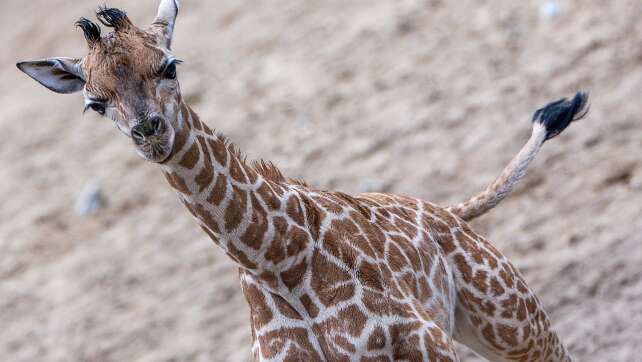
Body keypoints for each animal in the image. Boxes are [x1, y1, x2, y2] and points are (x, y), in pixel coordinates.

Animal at [16, 1, 592, 360]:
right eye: (94, 102)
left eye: (169, 66)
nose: (149, 131)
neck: (278, 259)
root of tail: (446, 212)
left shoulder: (425, 342)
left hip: (510, 317)